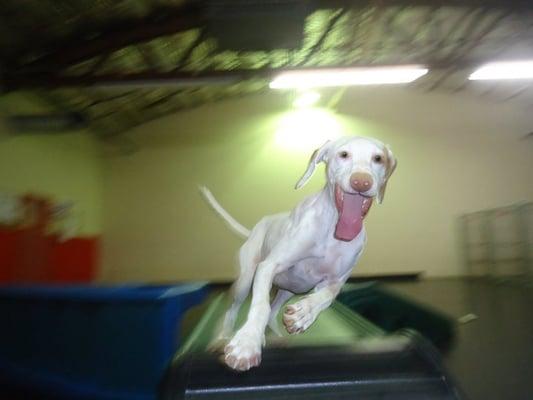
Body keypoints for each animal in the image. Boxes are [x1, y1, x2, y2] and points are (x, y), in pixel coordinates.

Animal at [200, 136, 394, 370]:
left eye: (378, 158)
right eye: (344, 154)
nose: (362, 182)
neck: (333, 230)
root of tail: (255, 229)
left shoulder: (334, 281)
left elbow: (326, 297)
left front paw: (304, 313)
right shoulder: (268, 267)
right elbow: (260, 306)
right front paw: (247, 342)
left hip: (290, 289)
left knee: (274, 310)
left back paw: (276, 337)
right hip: (246, 280)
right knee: (233, 310)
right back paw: (221, 339)